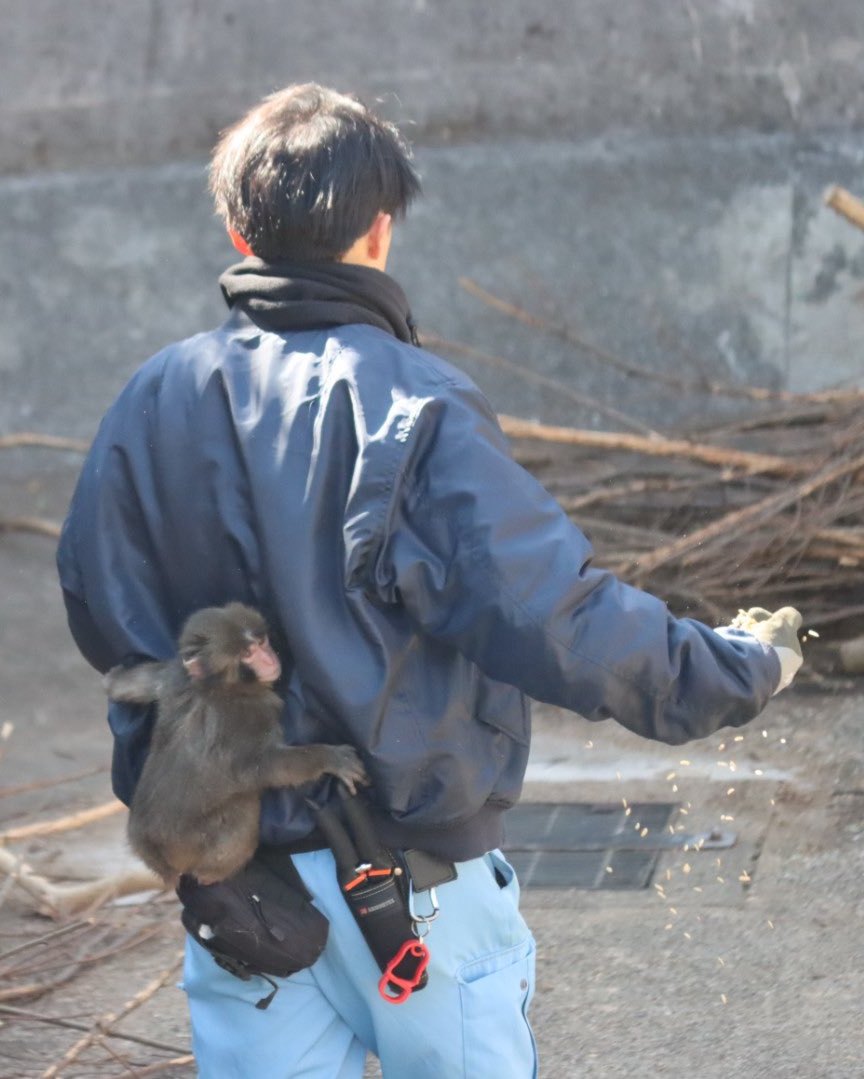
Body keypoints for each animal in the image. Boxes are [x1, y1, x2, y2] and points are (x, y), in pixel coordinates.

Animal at [103, 602, 368, 885]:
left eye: (262, 642)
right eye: (248, 653)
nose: (270, 658)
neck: (220, 685)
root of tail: (155, 855)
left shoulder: (177, 677)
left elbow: (147, 681)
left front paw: (114, 680)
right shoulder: (248, 716)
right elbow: (263, 767)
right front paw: (329, 758)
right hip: (194, 844)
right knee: (242, 814)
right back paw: (213, 874)